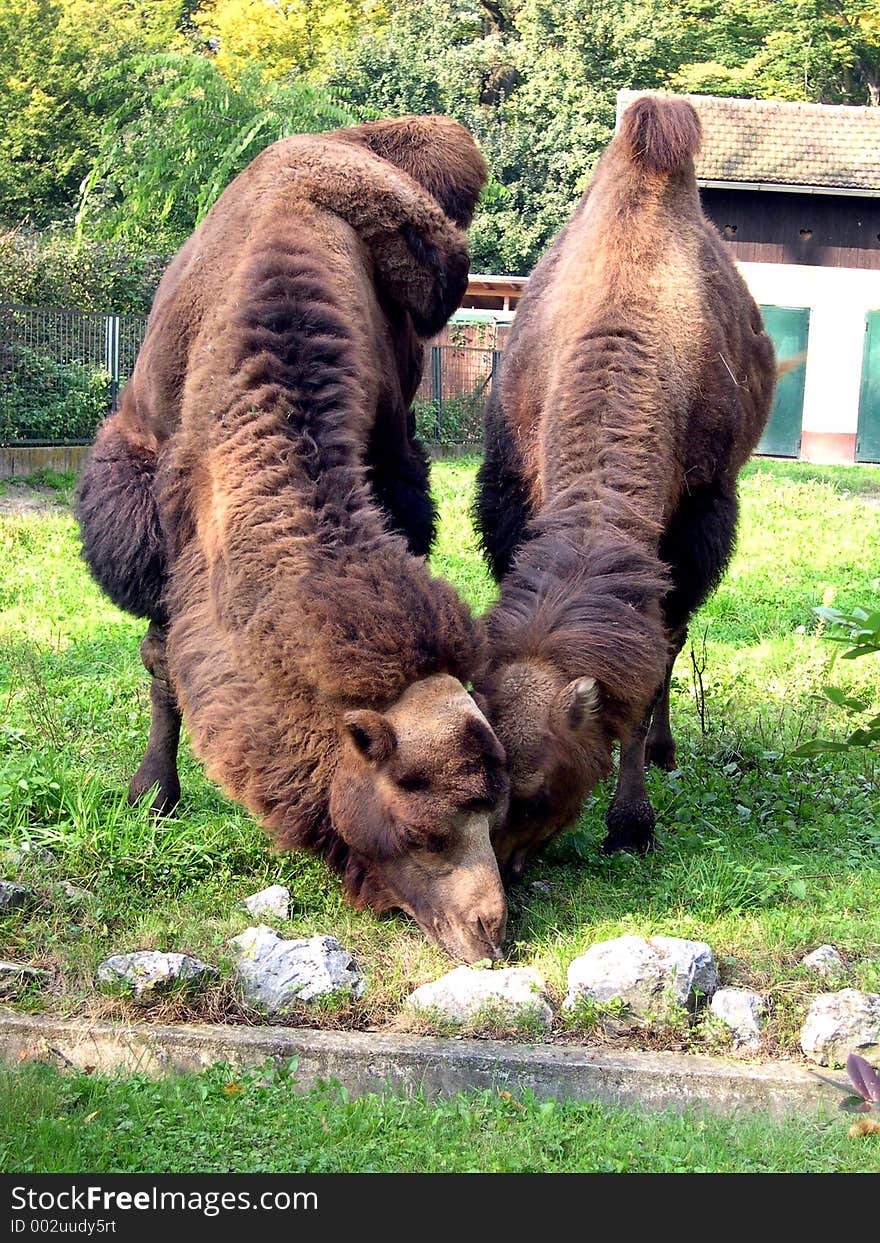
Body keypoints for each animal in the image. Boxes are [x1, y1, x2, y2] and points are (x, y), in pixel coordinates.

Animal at [80, 116, 514, 959]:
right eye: (422, 828)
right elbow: (160, 658)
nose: (491, 927)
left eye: (493, 807)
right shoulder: (162, 516)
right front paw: (153, 794)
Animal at [474, 91, 775, 880]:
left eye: (539, 790)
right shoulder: (511, 493)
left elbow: (655, 657)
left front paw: (631, 822)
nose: (504, 873)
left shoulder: (700, 517)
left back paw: (666, 754)